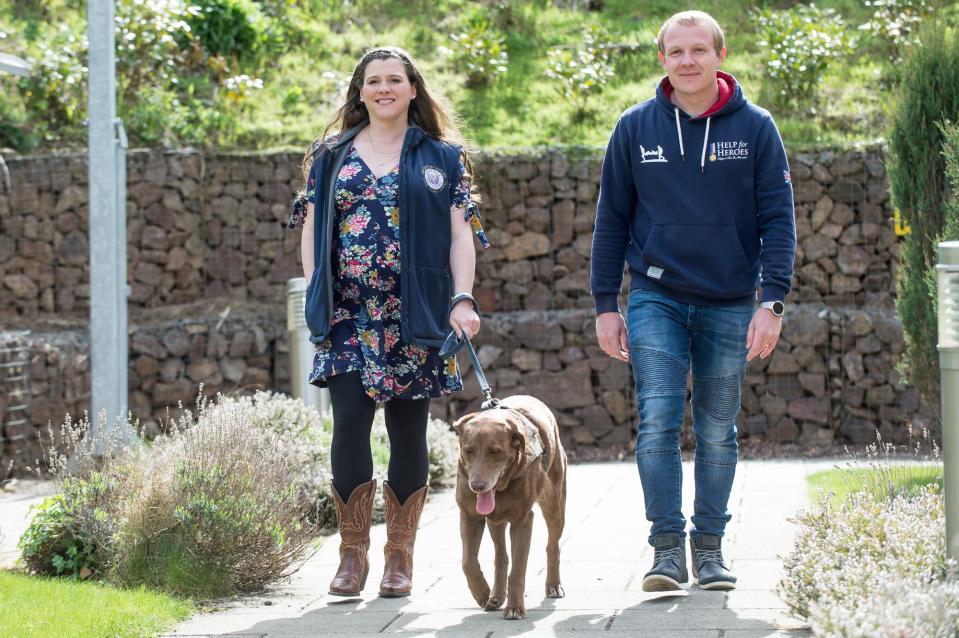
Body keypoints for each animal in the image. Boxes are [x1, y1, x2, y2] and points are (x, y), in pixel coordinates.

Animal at [454, 396, 568, 620]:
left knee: (552, 544)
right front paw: (482, 593)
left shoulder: (522, 521)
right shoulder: (469, 515)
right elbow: (468, 562)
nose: (477, 486)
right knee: (501, 555)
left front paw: (515, 607)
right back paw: (496, 595)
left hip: (555, 504)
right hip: (495, 520)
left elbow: (518, 569)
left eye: (495, 451)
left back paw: (553, 585)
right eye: (468, 451)